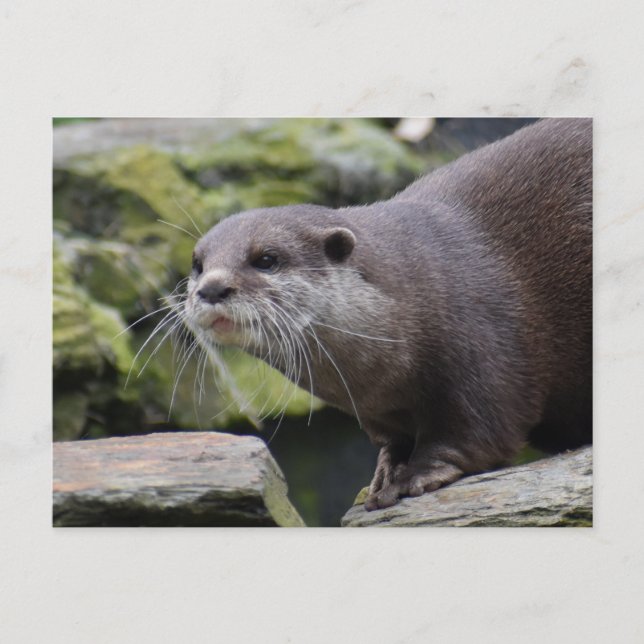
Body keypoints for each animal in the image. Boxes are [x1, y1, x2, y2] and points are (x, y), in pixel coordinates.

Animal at [182, 118, 592, 510]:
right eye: (198, 265)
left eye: (266, 259)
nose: (212, 288)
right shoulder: (382, 411)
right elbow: (395, 442)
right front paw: (384, 475)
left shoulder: (485, 349)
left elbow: (477, 434)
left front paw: (417, 476)